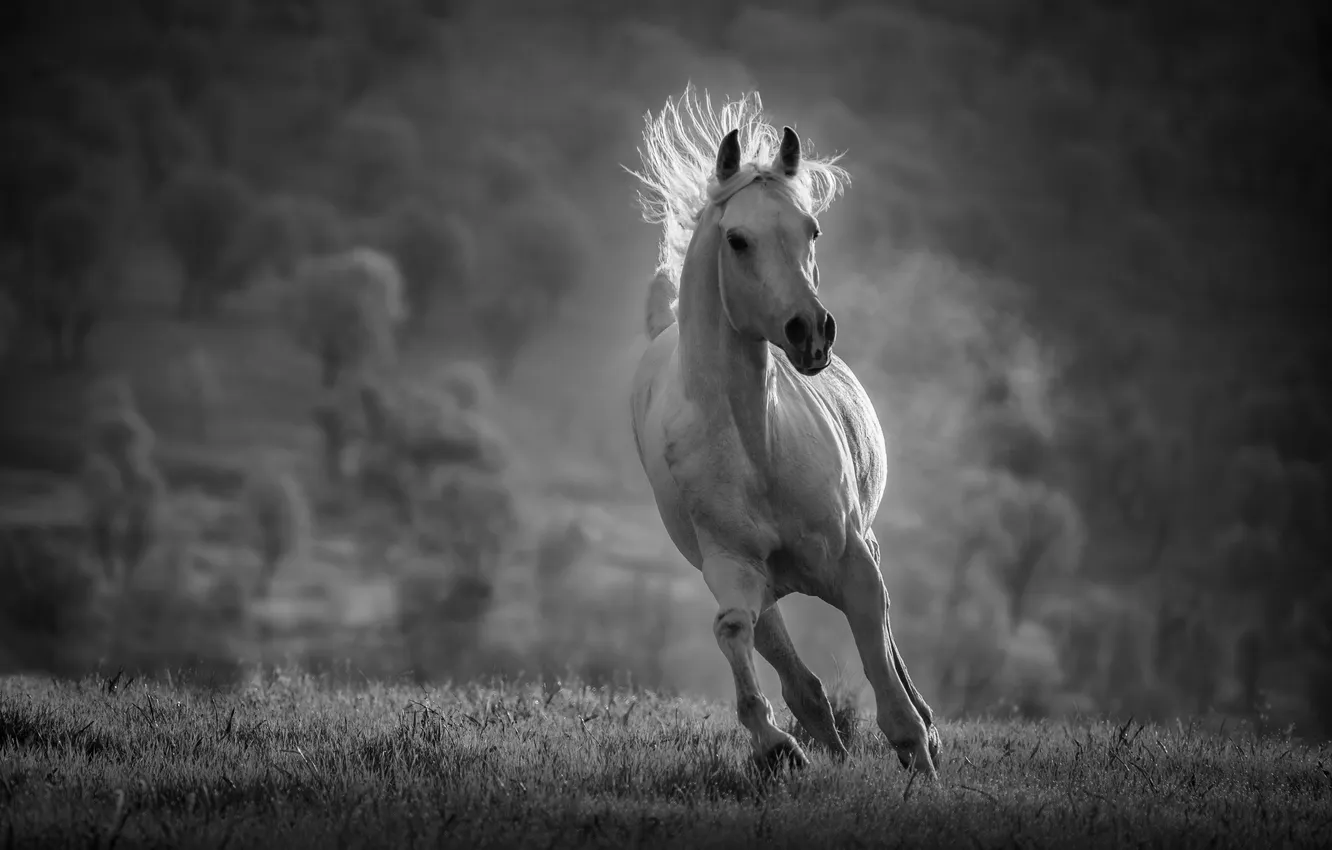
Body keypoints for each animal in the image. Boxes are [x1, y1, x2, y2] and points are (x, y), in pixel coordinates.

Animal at [626, 86, 941, 777]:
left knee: (886, 648)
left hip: (862, 545)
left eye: (811, 229)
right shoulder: (735, 572)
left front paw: (921, 756)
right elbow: (735, 637)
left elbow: (885, 674)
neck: (758, 449)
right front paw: (777, 747)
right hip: (765, 589)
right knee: (799, 677)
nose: (811, 333)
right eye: (738, 240)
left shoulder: (854, 563)